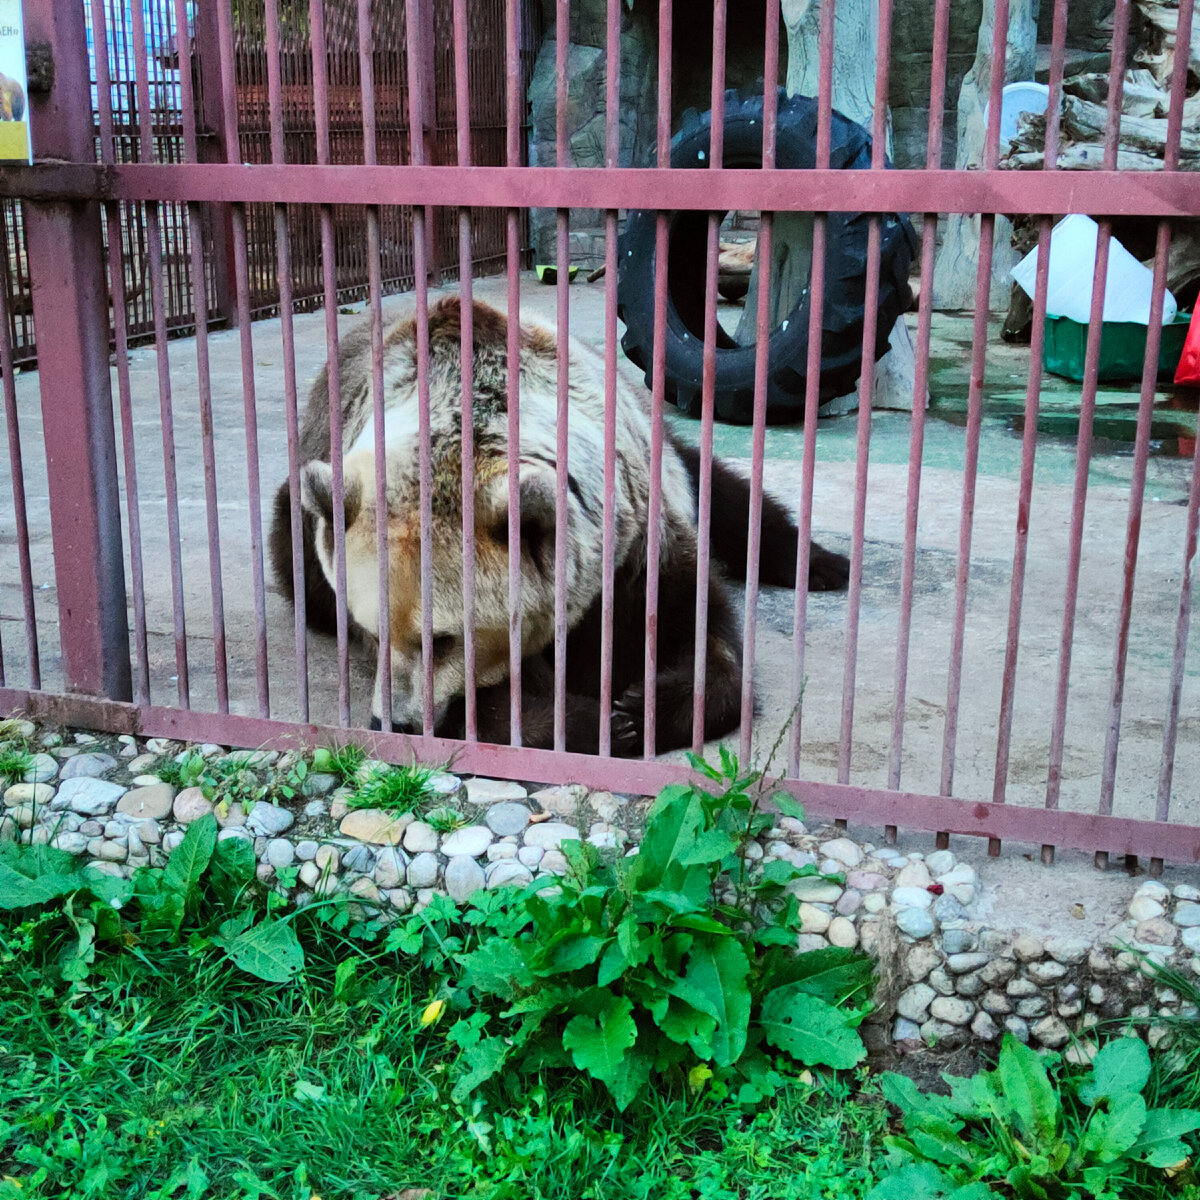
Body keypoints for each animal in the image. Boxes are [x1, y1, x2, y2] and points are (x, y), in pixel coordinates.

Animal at [267, 296, 849, 753]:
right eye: (368, 630)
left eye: (445, 639)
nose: (396, 721)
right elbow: (499, 707)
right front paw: (601, 720)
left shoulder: (638, 532)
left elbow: (703, 634)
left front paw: (639, 707)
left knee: (724, 492)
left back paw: (823, 565)